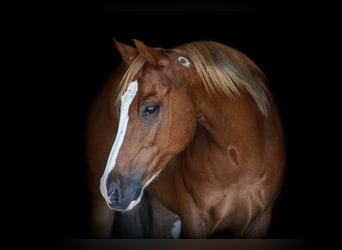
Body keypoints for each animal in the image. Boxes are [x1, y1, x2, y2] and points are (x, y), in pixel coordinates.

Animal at [85, 39, 286, 238]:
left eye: (150, 108)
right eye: (120, 108)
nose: (110, 189)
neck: (239, 167)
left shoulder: (259, 222)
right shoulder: (194, 220)